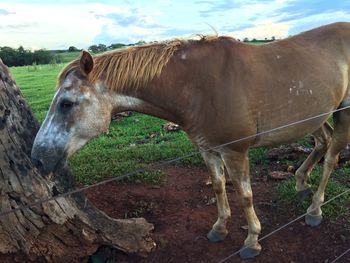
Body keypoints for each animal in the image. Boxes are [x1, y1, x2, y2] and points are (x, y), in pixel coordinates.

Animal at [31, 22, 350, 260]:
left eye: (67, 104)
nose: (37, 158)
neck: (197, 87)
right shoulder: (208, 149)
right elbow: (219, 187)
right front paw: (219, 228)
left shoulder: (235, 152)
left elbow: (245, 195)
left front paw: (252, 241)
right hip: (314, 116)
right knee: (322, 143)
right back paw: (301, 183)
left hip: (342, 112)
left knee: (332, 157)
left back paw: (315, 209)